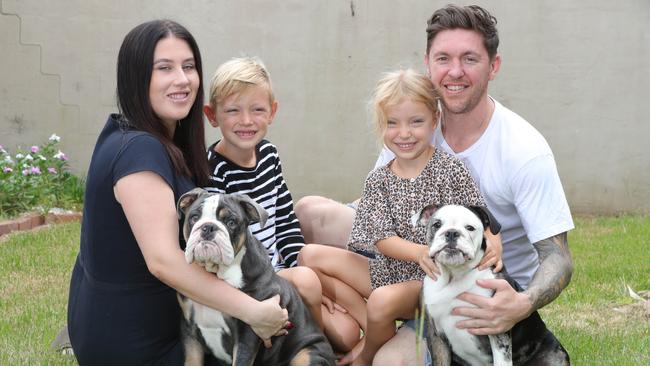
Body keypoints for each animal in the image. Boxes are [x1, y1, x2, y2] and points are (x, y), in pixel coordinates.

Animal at [176, 189, 334, 366]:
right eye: (194, 217)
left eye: (231, 222)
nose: (208, 227)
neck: (216, 273)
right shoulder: (189, 331)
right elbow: (191, 360)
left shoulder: (248, 332)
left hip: (307, 354)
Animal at [410, 204, 568, 366]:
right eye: (437, 224)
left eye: (470, 228)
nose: (452, 233)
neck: (454, 275)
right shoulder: (436, 336)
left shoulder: (497, 329)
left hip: (555, 356)